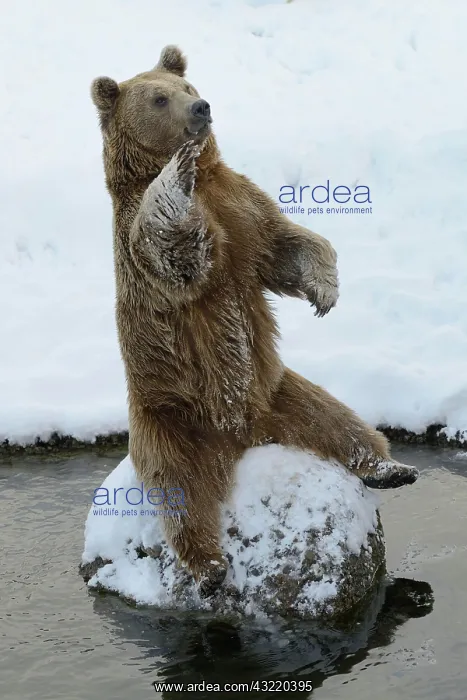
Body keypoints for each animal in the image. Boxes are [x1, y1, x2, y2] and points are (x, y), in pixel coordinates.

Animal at [91, 45, 419, 597]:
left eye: (186, 86)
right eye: (159, 98)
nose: (200, 107)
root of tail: (241, 435)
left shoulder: (242, 206)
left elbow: (282, 244)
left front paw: (324, 290)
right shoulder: (151, 238)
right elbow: (173, 247)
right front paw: (177, 172)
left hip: (280, 390)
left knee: (338, 421)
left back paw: (390, 468)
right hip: (168, 417)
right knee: (181, 492)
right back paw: (208, 567)